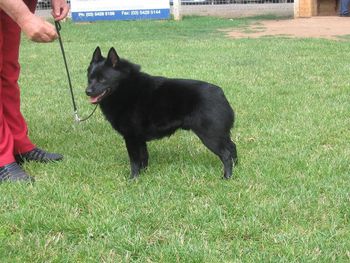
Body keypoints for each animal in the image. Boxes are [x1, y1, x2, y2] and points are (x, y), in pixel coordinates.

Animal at [86, 47, 237, 179]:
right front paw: (144, 174)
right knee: (232, 147)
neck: (124, 87)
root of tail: (220, 93)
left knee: (226, 154)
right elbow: (144, 158)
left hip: (210, 136)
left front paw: (133, 178)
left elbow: (134, 161)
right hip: (219, 135)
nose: (87, 91)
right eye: (89, 78)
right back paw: (236, 167)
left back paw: (227, 176)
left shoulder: (131, 137)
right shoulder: (139, 139)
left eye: (102, 79)